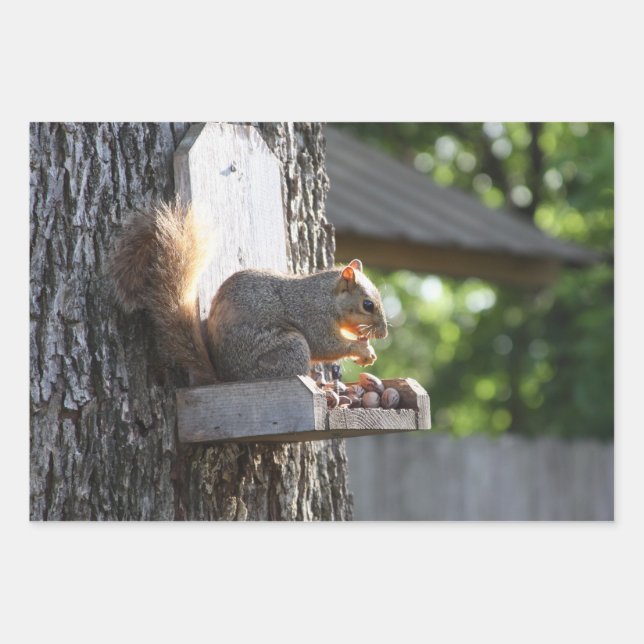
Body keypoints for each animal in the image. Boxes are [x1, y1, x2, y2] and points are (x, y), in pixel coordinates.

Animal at [108, 200, 388, 384]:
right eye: (368, 305)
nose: (384, 334)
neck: (327, 297)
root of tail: (225, 377)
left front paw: (367, 347)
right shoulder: (312, 315)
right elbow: (326, 344)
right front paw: (361, 349)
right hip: (288, 348)